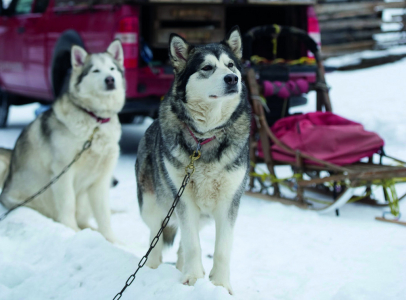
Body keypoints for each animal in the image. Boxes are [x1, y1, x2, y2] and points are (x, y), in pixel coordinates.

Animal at [0, 41, 125, 243]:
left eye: (112, 69)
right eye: (95, 70)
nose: (110, 79)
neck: (96, 120)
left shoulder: (101, 180)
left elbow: (104, 215)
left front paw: (112, 241)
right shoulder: (63, 171)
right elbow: (68, 203)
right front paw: (71, 231)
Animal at [136, 25, 251, 292]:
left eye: (231, 65)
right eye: (207, 67)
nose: (232, 79)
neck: (204, 138)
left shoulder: (229, 201)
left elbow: (222, 249)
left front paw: (220, 285)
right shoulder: (183, 201)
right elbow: (192, 244)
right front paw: (193, 279)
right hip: (152, 205)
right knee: (155, 238)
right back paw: (154, 268)